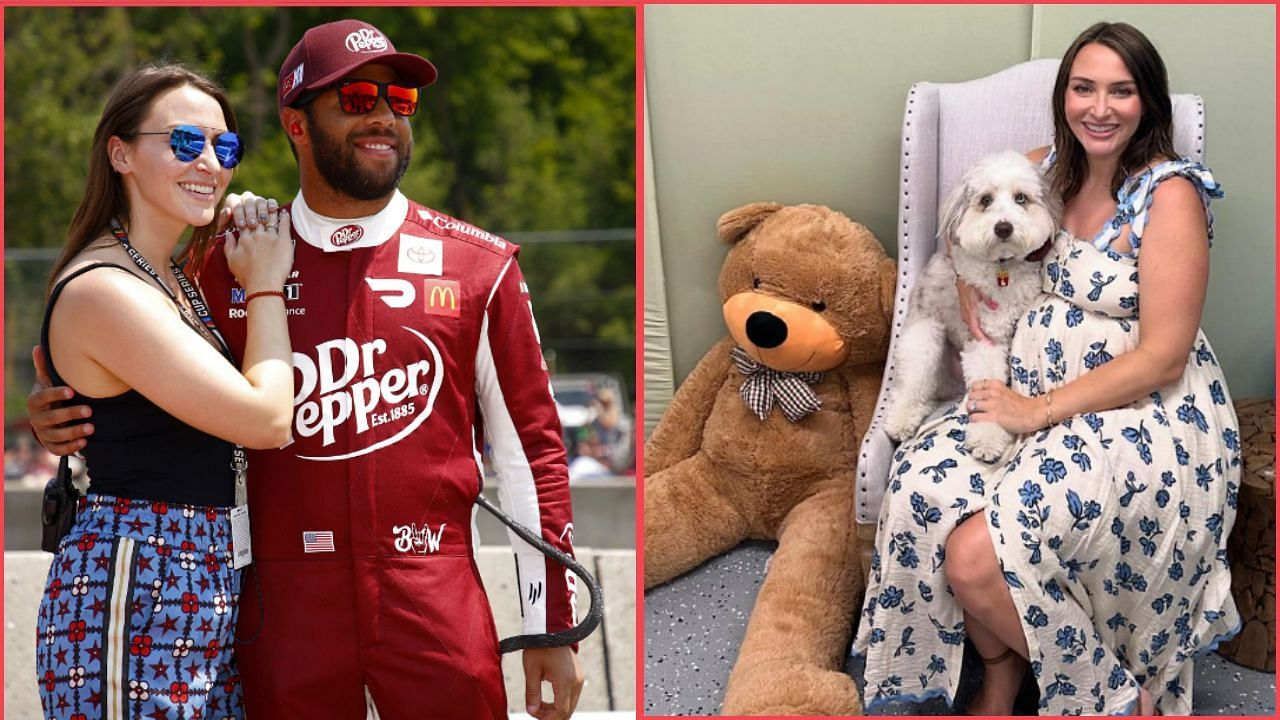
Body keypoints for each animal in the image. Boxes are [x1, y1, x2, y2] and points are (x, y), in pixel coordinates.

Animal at [890, 149, 1059, 458]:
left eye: (1021, 198)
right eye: (985, 200)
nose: (1003, 227)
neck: (1002, 269)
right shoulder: (985, 339)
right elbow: (987, 387)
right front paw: (988, 439)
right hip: (924, 342)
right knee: (910, 386)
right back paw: (901, 419)